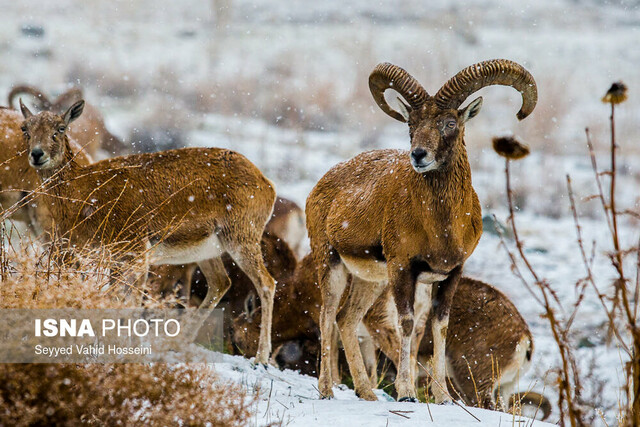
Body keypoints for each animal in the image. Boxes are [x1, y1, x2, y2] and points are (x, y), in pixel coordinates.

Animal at [19, 99, 278, 364]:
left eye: (60, 128)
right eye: (25, 128)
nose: (37, 154)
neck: (85, 194)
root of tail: (267, 185)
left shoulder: (137, 253)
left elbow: (131, 301)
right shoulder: (113, 259)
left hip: (241, 239)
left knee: (266, 283)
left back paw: (261, 358)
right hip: (207, 251)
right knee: (220, 282)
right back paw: (178, 343)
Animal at [304, 59, 536, 402]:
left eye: (450, 123)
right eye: (411, 123)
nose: (419, 155)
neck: (441, 227)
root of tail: (321, 185)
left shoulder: (450, 274)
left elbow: (439, 327)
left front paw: (443, 397)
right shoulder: (403, 269)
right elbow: (407, 324)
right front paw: (406, 393)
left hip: (369, 280)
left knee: (346, 319)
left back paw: (367, 393)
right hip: (330, 261)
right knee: (328, 314)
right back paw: (326, 390)